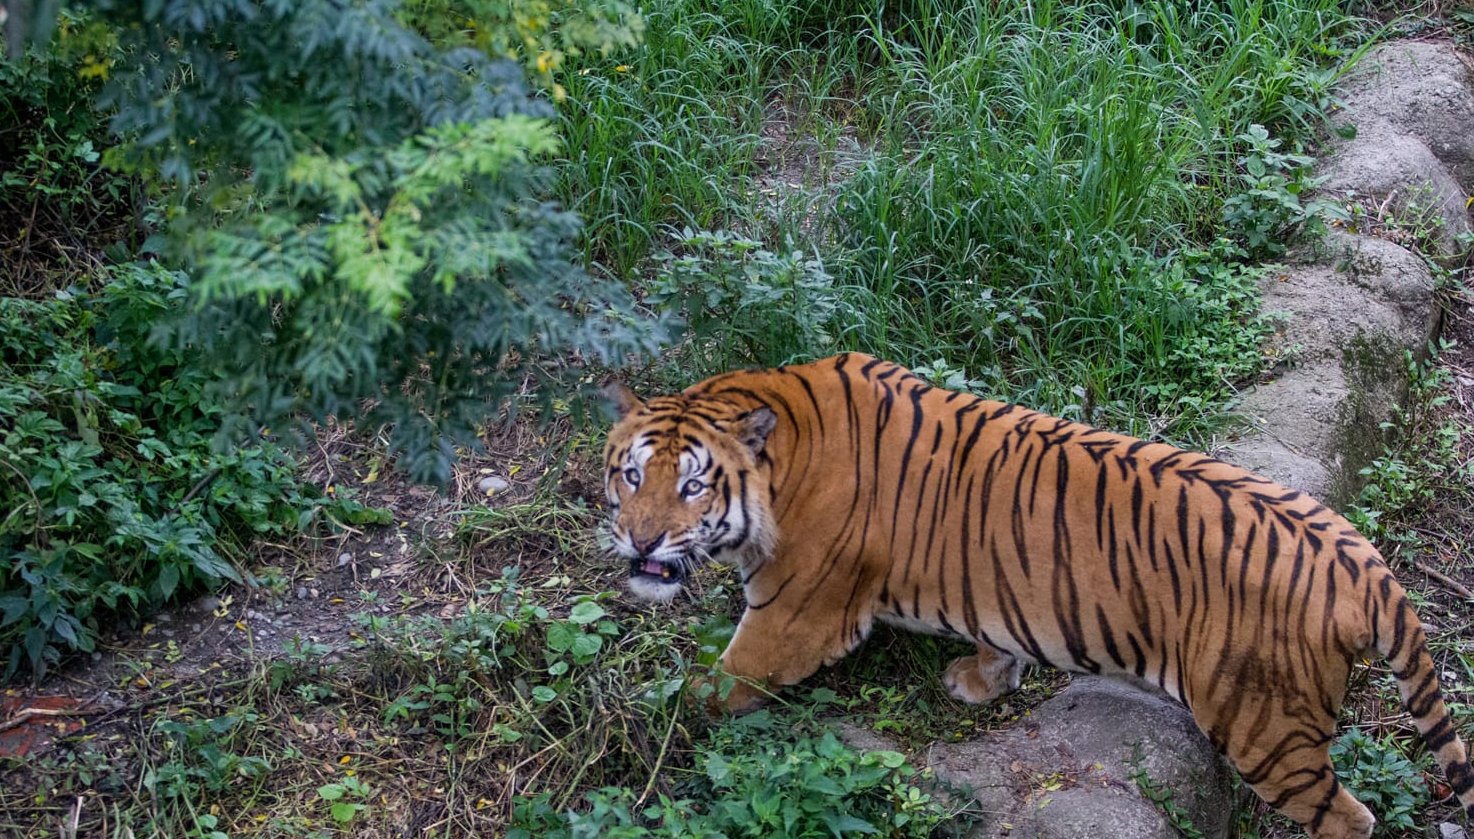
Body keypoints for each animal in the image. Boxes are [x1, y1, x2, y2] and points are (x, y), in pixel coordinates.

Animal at [600, 352, 1474, 838]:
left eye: (692, 486)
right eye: (631, 474)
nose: (639, 542)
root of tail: (1363, 561)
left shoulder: (791, 617)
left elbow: (712, 687)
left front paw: (641, 722)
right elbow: (998, 628)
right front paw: (982, 679)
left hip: (1269, 733)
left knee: (1350, 818)